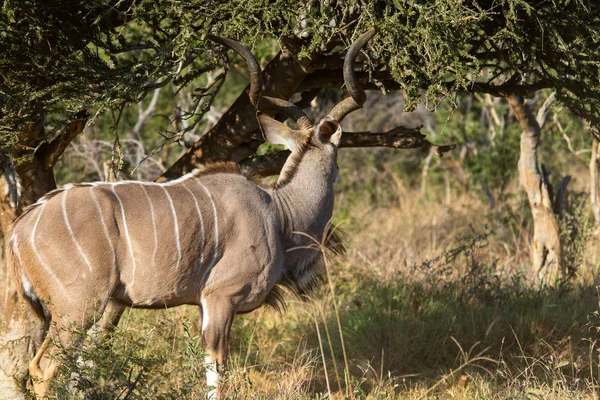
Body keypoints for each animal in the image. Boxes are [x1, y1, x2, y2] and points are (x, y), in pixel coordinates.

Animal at [8, 27, 376, 396]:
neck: (279, 212)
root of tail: (19, 228)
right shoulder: (220, 297)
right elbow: (217, 368)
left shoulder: (203, 304)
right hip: (79, 307)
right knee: (44, 368)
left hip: (58, 312)